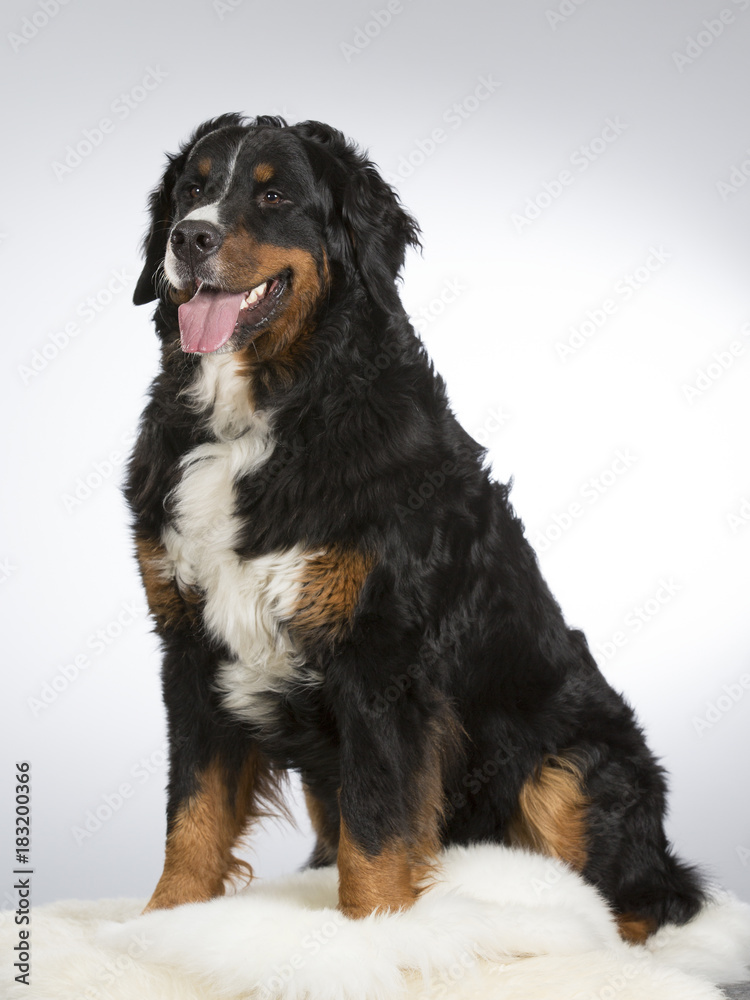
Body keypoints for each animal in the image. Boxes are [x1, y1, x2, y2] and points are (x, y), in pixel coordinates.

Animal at [126, 115, 708, 936]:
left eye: (273, 195)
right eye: (192, 188)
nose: (190, 237)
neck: (262, 417)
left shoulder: (381, 656)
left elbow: (378, 826)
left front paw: (374, 932)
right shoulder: (189, 646)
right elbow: (194, 811)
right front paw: (164, 922)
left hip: (572, 765)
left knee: (643, 898)